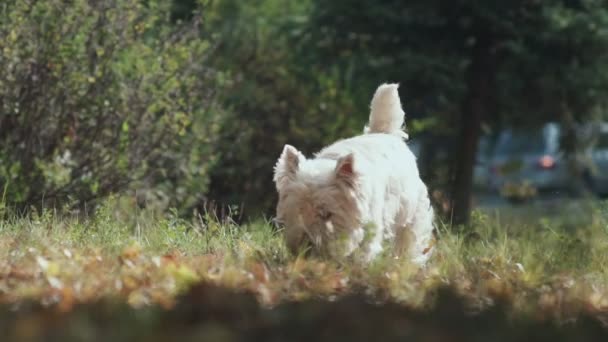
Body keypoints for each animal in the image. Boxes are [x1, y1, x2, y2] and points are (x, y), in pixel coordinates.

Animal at [274, 83, 434, 264]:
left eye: (326, 214)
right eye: (298, 211)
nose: (306, 246)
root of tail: (385, 133)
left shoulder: (370, 227)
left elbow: (362, 252)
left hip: (411, 212)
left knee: (408, 239)